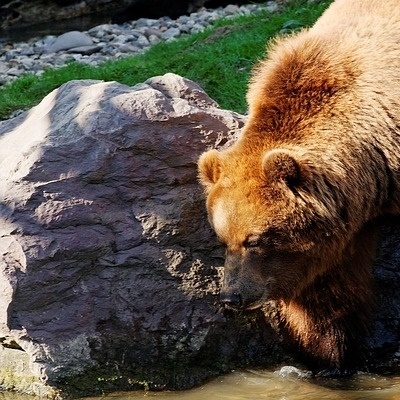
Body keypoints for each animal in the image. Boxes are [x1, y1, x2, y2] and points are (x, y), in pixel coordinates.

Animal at [198, 0, 400, 376]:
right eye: (223, 238)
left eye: (255, 240)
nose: (232, 297)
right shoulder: (339, 227)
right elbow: (326, 296)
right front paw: (331, 359)